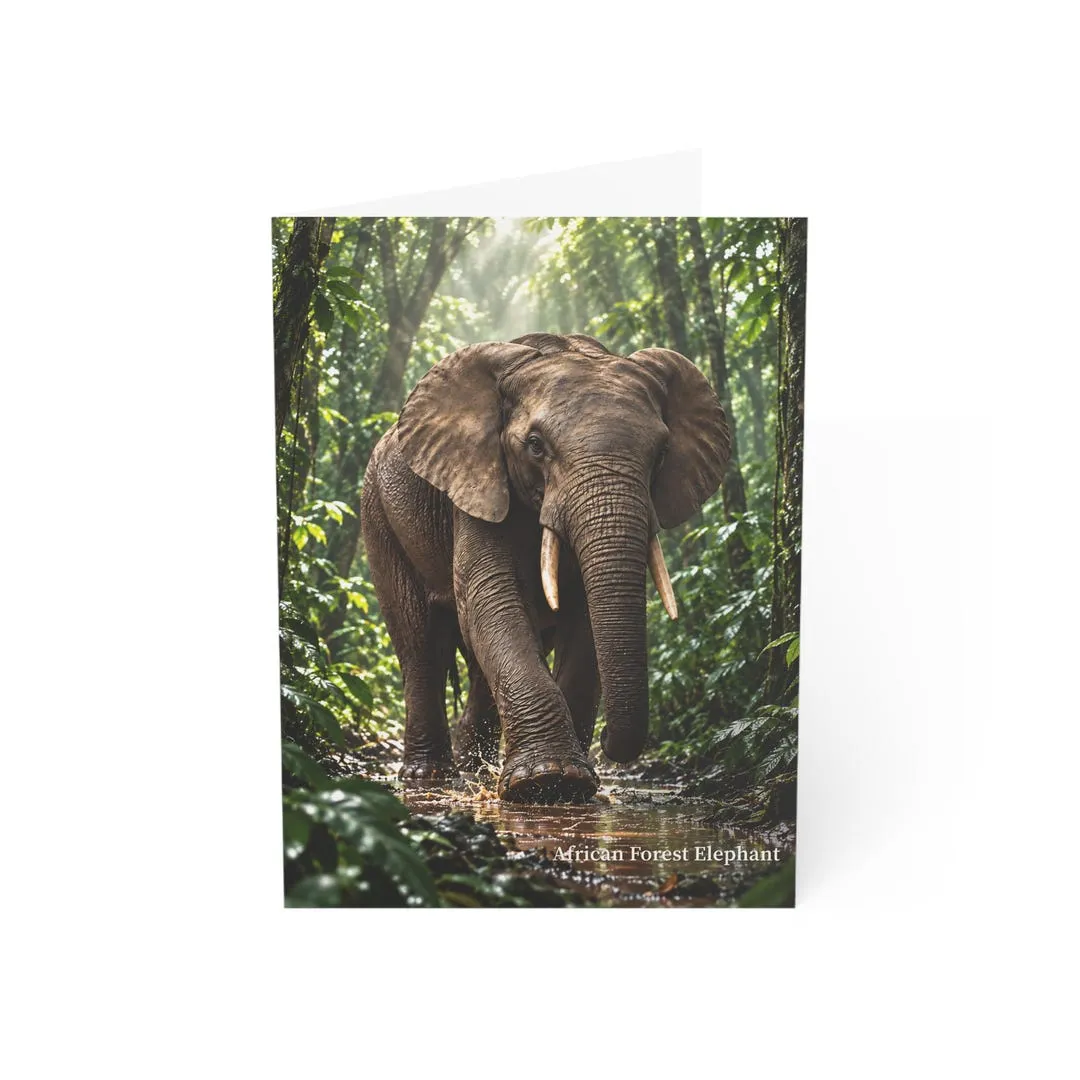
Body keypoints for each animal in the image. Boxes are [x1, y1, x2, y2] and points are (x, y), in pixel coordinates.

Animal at [360, 332, 730, 803]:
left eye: (662, 453)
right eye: (535, 445)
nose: (609, 743)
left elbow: (583, 621)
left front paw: (567, 783)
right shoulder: (478, 484)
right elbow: (490, 598)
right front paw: (544, 780)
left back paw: (473, 770)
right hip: (378, 515)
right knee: (422, 642)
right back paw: (429, 777)